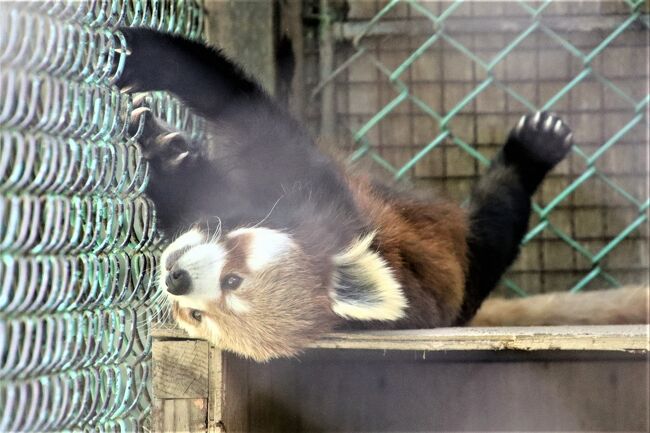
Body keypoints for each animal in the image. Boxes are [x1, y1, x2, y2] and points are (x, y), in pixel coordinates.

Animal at [114, 25, 644, 360]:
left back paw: (530, 153)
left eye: (230, 283)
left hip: (471, 254)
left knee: (498, 221)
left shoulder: (305, 182)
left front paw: (146, 57)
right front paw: (164, 147)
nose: (176, 279)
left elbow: (235, 101)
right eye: (196, 314)